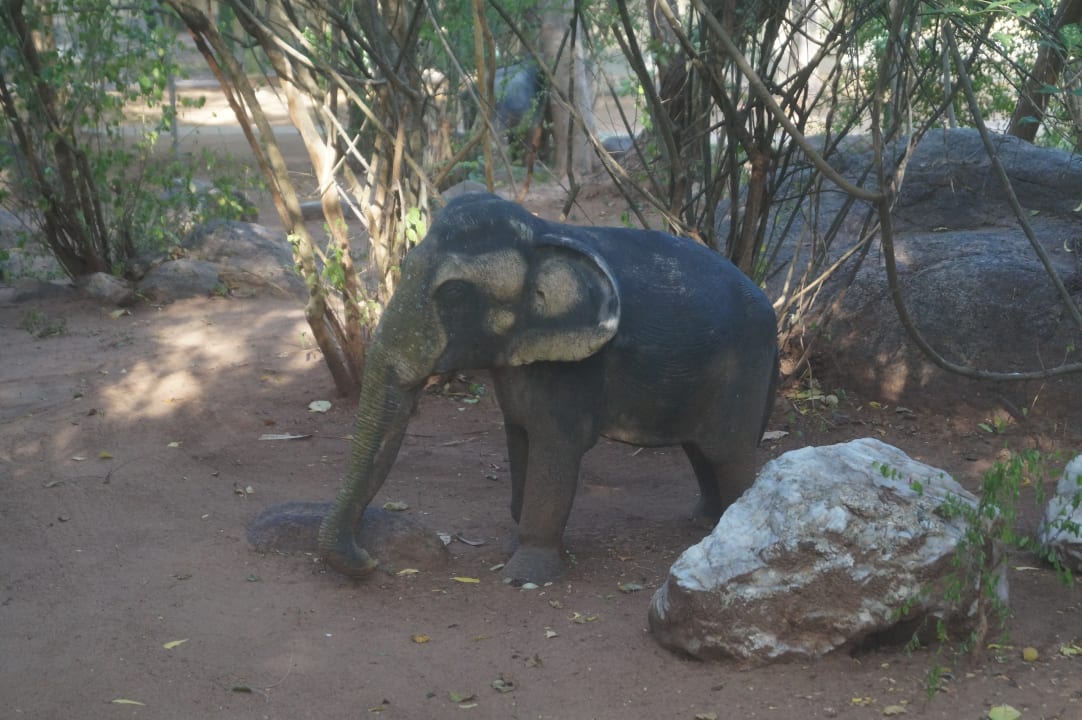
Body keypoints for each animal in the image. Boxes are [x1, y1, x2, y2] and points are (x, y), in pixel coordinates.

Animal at [318, 192, 779, 584]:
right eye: (407, 268)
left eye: (455, 293)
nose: (371, 562)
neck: (540, 234)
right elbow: (519, 438)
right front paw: (511, 545)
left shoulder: (574, 369)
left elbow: (555, 450)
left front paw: (523, 577)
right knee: (700, 450)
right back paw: (704, 523)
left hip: (745, 367)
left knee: (728, 452)